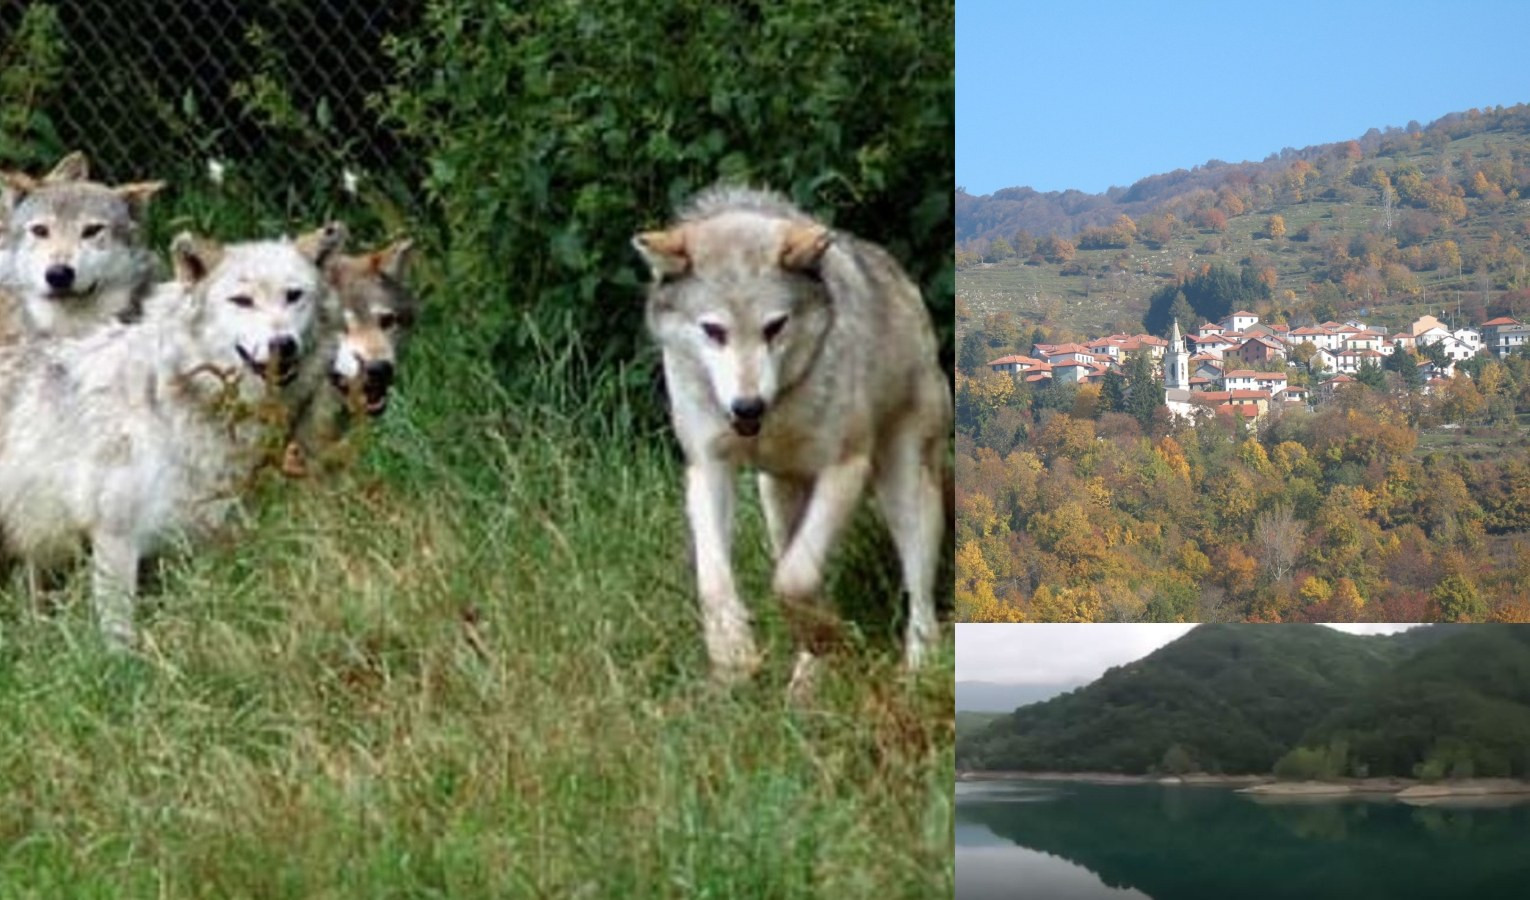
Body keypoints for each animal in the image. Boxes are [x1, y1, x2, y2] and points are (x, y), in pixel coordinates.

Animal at [0, 223, 347, 645]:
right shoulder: (116, 538)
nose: (283, 344)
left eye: (294, 295)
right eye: (242, 301)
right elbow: (119, 634)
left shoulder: (207, 539)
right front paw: (123, 663)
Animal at [630, 184, 942, 688]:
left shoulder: (844, 467)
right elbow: (713, 580)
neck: (774, 416)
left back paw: (918, 665)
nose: (747, 407)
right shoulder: (707, 468)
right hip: (776, 498)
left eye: (774, 327)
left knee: (919, 593)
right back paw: (806, 681)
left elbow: (792, 581)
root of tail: (900, 278)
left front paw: (824, 633)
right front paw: (733, 653)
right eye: (713, 331)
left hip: (904, 488)